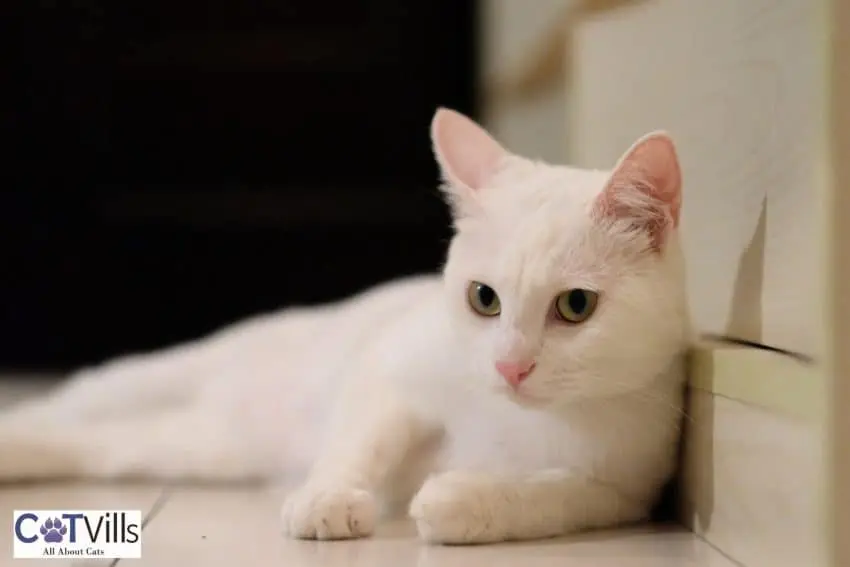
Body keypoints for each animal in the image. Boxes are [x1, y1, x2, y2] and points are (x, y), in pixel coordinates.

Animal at [0, 107, 688, 544]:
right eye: (483, 299)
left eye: (575, 307)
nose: (509, 366)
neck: (518, 417)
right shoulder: (389, 377)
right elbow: (362, 442)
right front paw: (327, 501)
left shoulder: (624, 489)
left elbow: (554, 494)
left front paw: (461, 501)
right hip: (153, 378)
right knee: (66, 406)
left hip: (194, 446)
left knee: (96, 445)